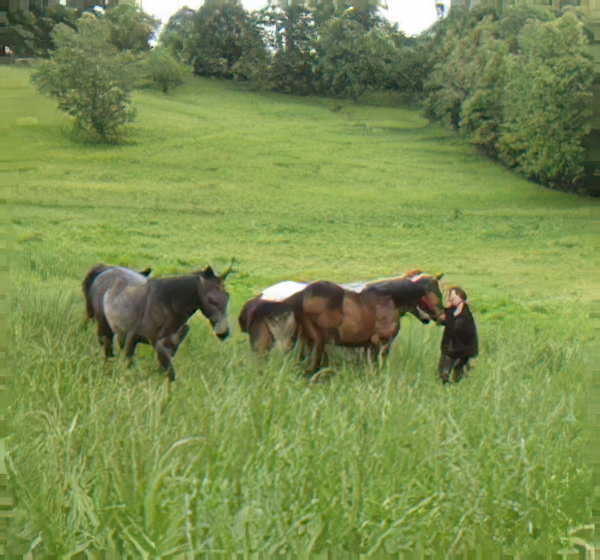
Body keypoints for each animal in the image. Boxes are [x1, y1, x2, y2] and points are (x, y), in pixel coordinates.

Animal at [282, 270, 446, 374]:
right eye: (434, 292)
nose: (442, 316)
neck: (388, 301)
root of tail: (302, 294)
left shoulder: (367, 346)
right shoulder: (381, 343)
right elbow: (377, 366)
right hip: (318, 341)